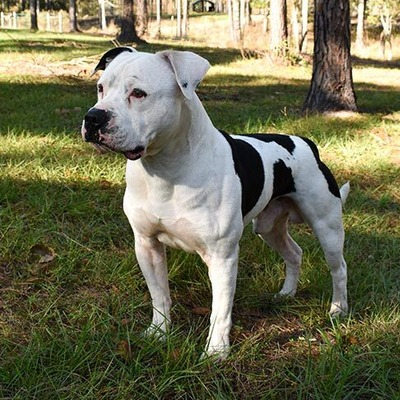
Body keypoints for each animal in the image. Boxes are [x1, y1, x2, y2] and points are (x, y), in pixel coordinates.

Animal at [82, 47, 350, 360]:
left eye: (138, 93)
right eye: (101, 88)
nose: (93, 117)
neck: (166, 168)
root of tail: (307, 143)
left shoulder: (222, 257)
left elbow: (220, 309)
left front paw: (216, 352)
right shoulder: (147, 244)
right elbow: (159, 294)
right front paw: (159, 332)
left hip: (327, 227)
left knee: (338, 268)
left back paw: (338, 309)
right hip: (269, 227)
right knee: (294, 253)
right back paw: (286, 294)